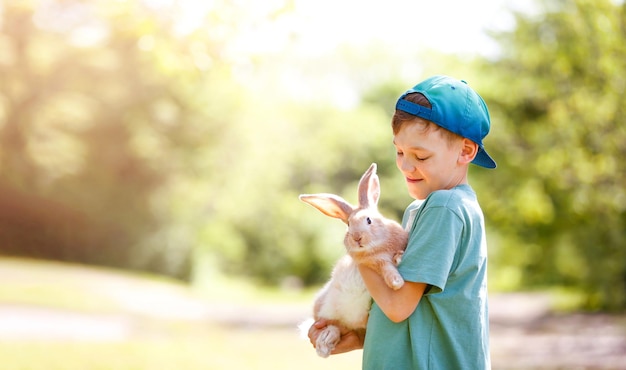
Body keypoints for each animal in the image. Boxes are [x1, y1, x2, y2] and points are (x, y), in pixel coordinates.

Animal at [298, 163, 410, 358]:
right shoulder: (375, 263)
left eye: (369, 220)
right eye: (349, 224)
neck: (379, 246)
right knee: (333, 325)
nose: (357, 238)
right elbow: (386, 267)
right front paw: (396, 282)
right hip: (325, 307)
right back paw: (325, 343)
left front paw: (399, 257)